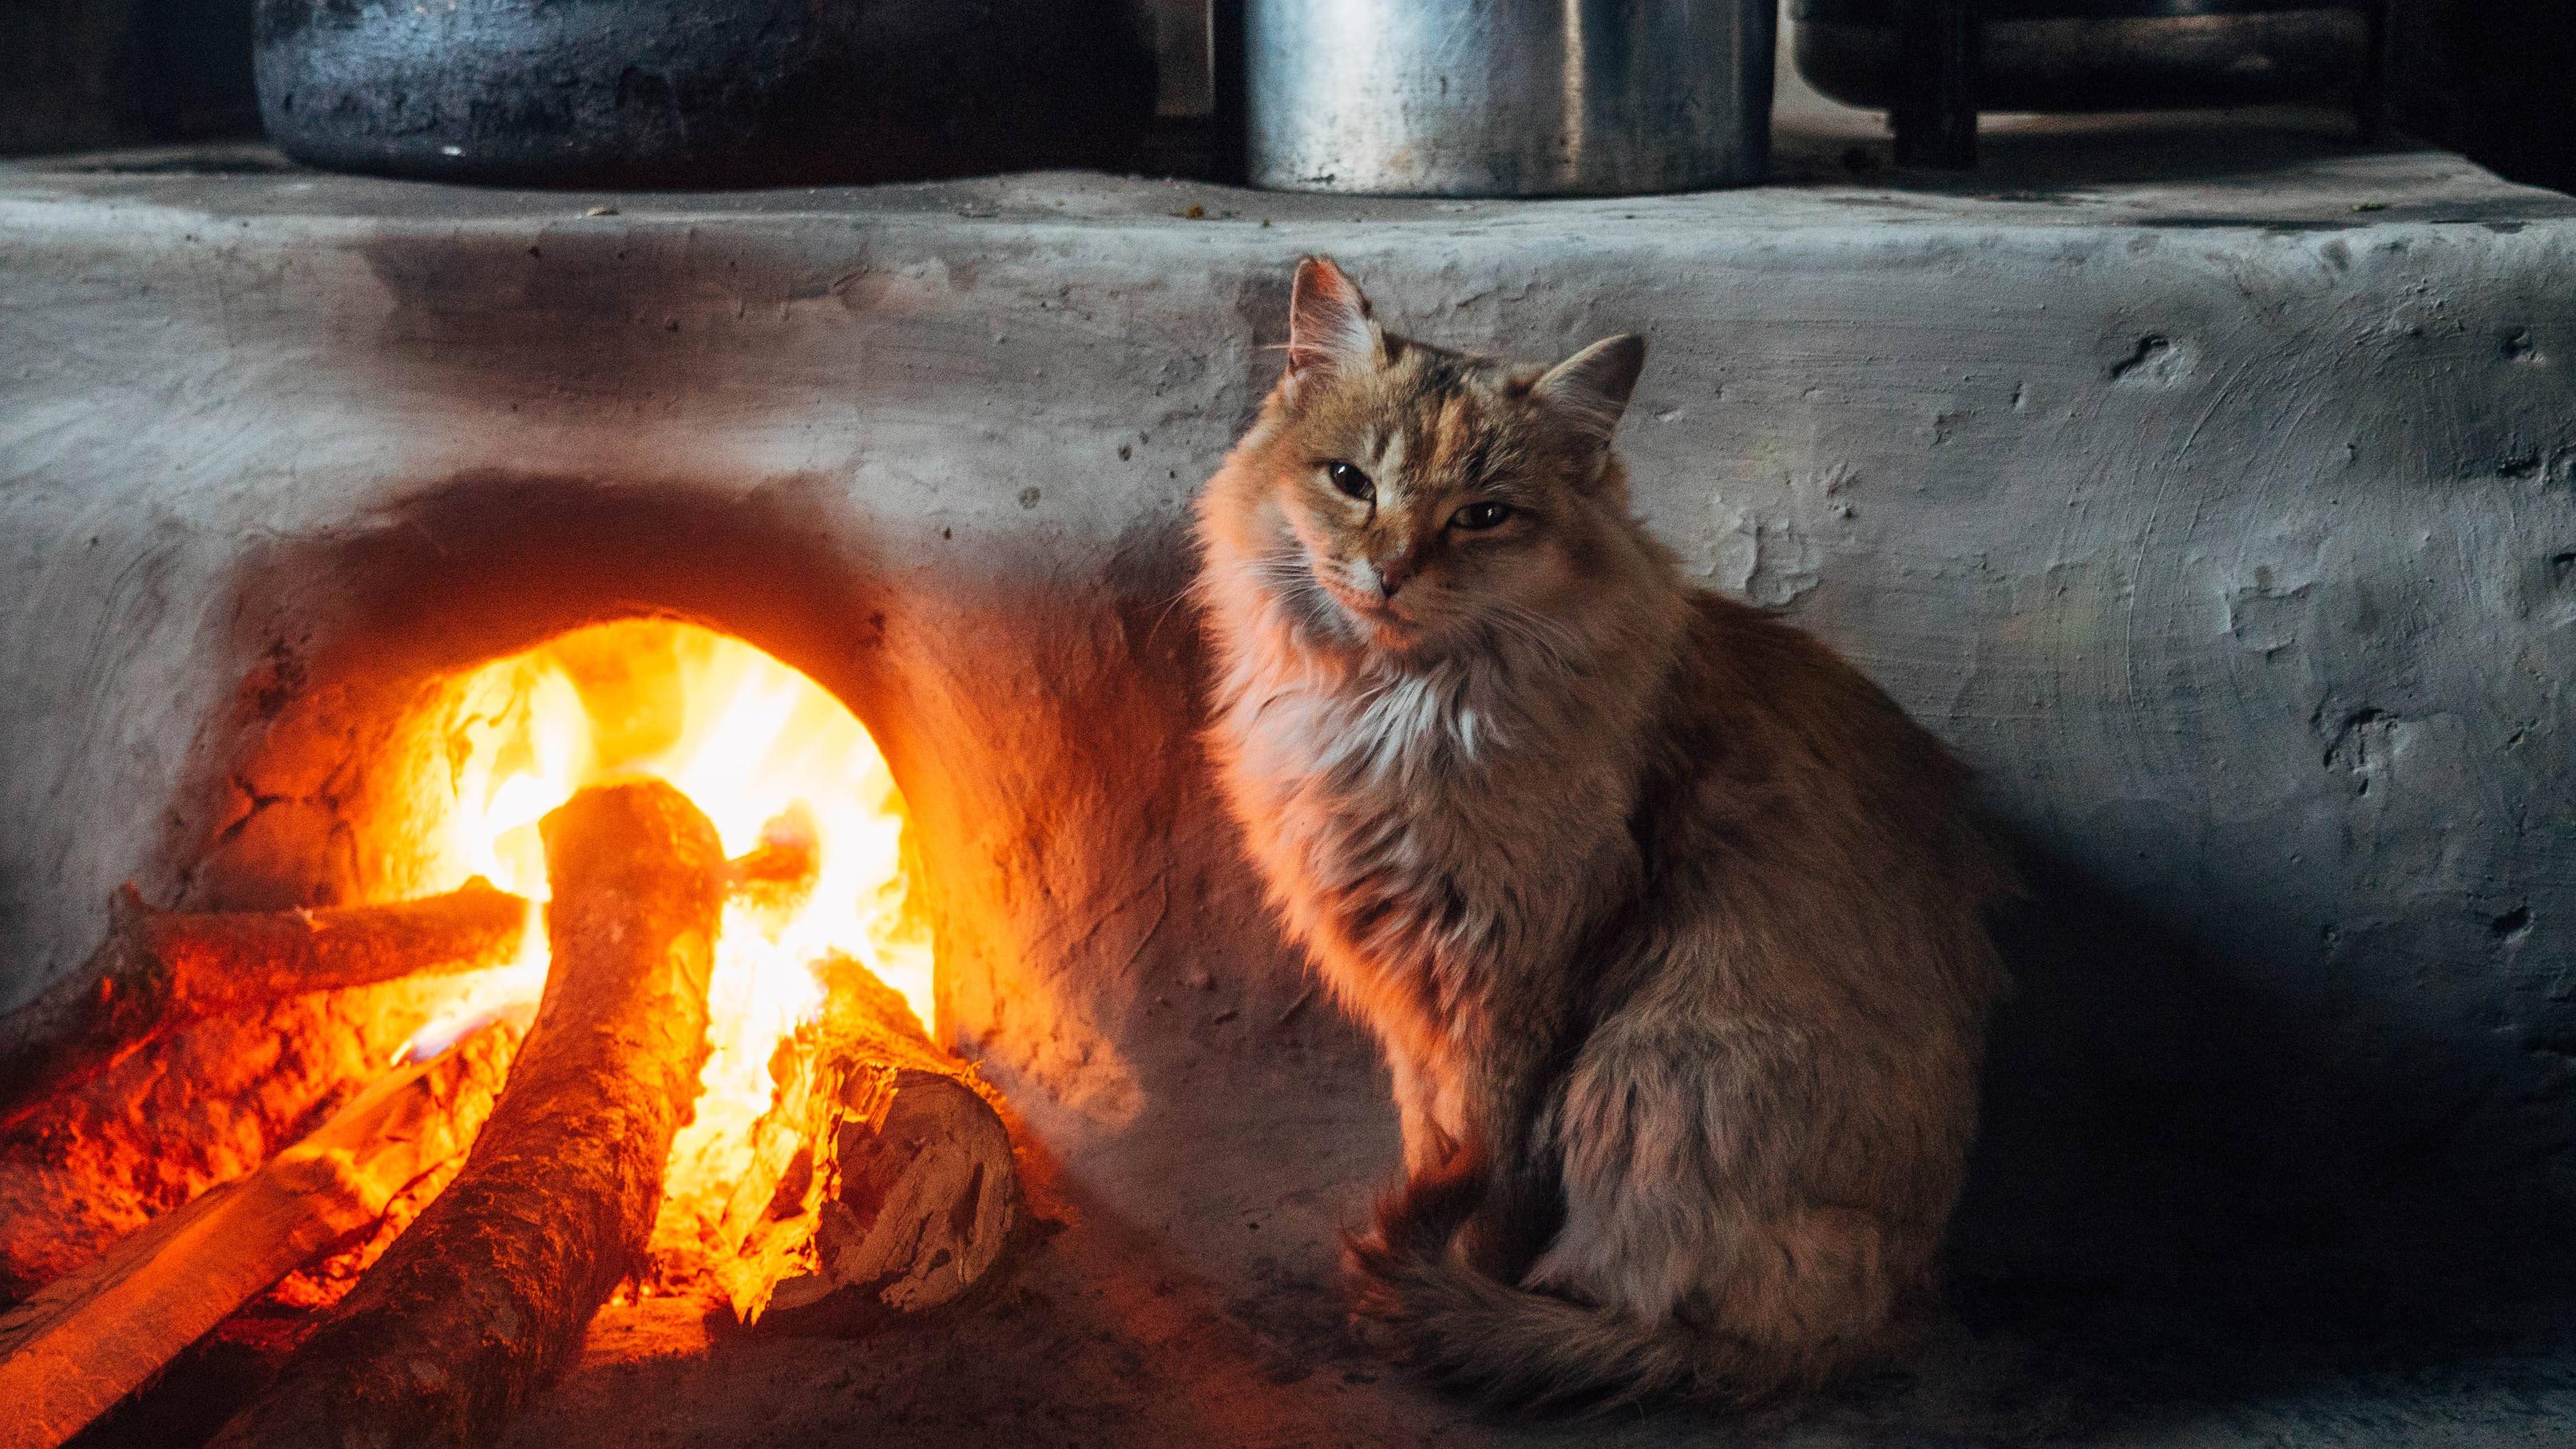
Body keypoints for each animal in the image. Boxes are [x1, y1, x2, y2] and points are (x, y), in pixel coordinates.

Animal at [1195, 256, 2019, 1402]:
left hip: (1658, 1065)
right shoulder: (1413, 999)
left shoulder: (1513, 987)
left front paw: (1431, 1285)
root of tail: (1897, 1301)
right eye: (1351, 480)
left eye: (1484, 514)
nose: (1391, 569)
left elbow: (1483, 1176)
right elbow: (1427, 1139)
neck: (1390, 712)